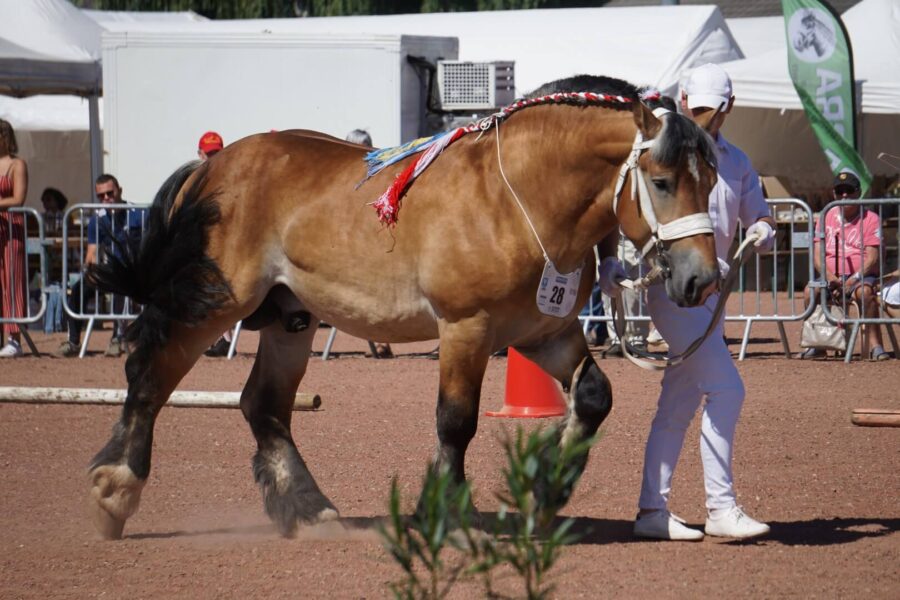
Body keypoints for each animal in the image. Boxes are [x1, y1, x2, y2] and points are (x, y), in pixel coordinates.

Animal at [84, 75, 716, 540]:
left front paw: (544, 491)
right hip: (216, 299)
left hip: (291, 316)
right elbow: (456, 423)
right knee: (150, 374)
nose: (702, 279)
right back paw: (115, 492)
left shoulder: (546, 333)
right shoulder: (466, 329)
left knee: (262, 404)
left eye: (710, 181)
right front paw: (446, 513)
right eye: (661, 181)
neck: (516, 201)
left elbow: (593, 397)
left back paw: (309, 508)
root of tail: (211, 167)